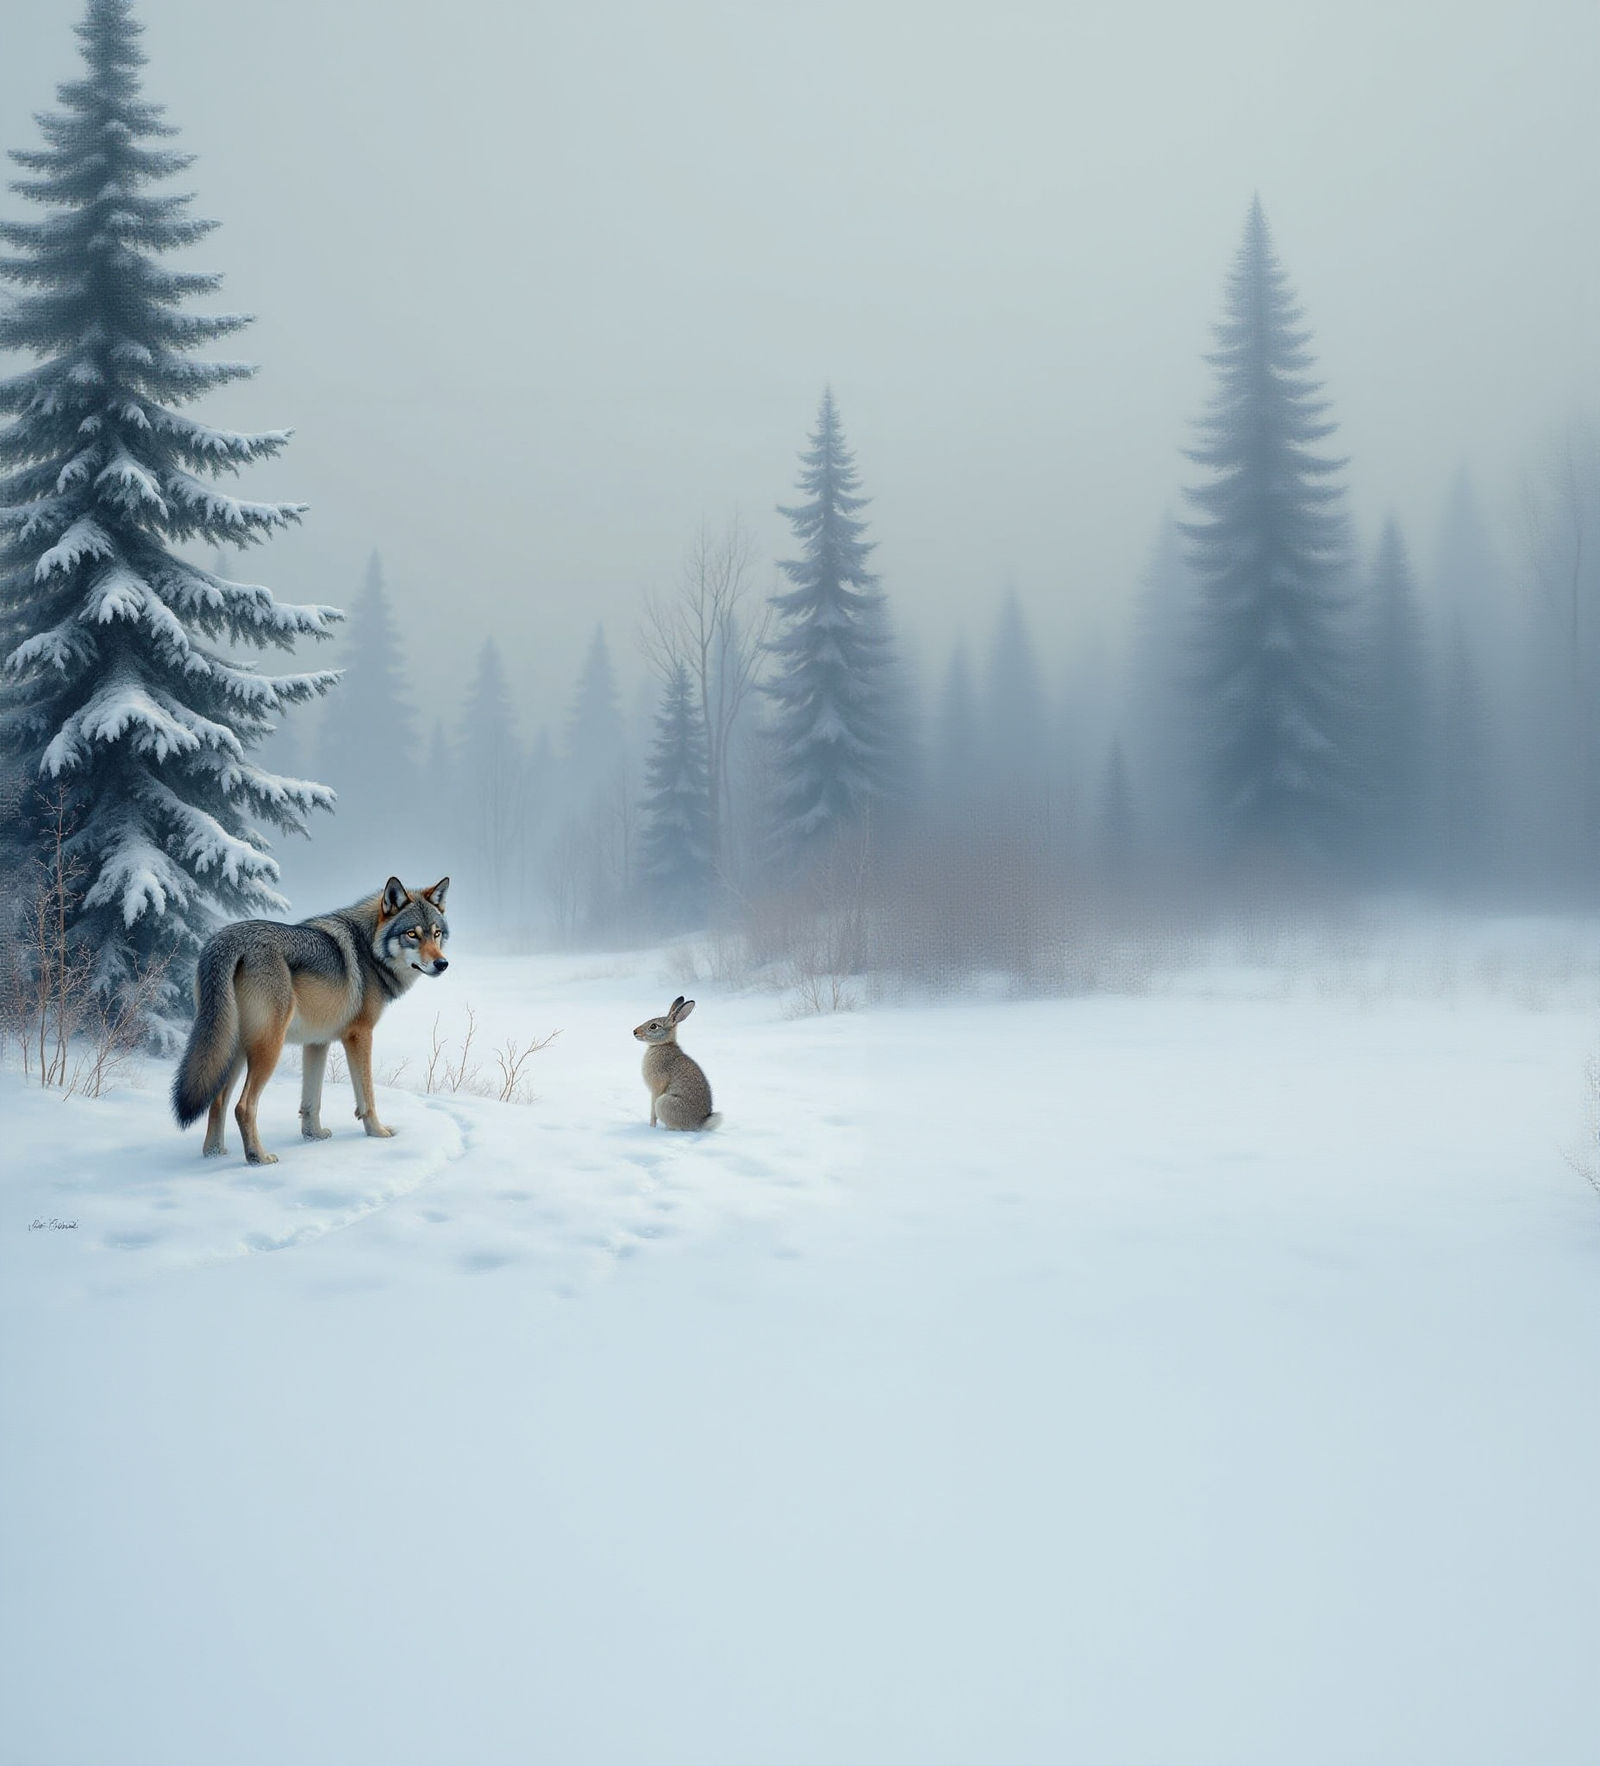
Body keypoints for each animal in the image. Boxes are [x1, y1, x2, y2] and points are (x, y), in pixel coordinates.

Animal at [171, 877, 450, 1165]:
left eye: (436, 933)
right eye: (412, 934)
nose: (442, 963)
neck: (369, 950)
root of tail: (227, 939)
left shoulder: (317, 1042)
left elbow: (311, 1101)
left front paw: (313, 1136)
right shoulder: (359, 1035)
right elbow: (367, 1096)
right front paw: (378, 1132)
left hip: (233, 1048)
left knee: (217, 1102)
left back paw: (213, 1156)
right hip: (267, 1048)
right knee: (243, 1106)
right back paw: (258, 1157)